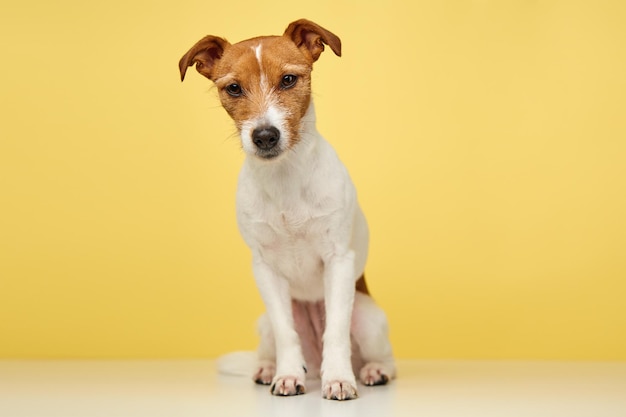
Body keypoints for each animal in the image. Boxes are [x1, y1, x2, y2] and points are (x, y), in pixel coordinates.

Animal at [179, 17, 394, 398]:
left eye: (289, 80)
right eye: (233, 88)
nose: (265, 136)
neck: (284, 179)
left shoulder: (339, 261)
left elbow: (335, 331)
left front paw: (339, 378)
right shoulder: (265, 270)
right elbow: (286, 333)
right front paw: (288, 375)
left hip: (369, 317)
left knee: (385, 359)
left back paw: (370, 370)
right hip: (263, 322)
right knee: (275, 343)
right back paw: (268, 368)